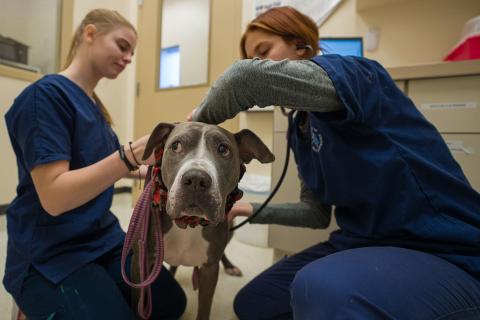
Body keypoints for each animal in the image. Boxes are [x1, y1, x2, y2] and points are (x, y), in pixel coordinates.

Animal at [133, 122, 274, 320]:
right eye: (175, 146)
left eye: (223, 149)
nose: (196, 179)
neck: (189, 222)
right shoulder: (141, 262)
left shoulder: (209, 270)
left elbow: (204, 308)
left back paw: (230, 266)